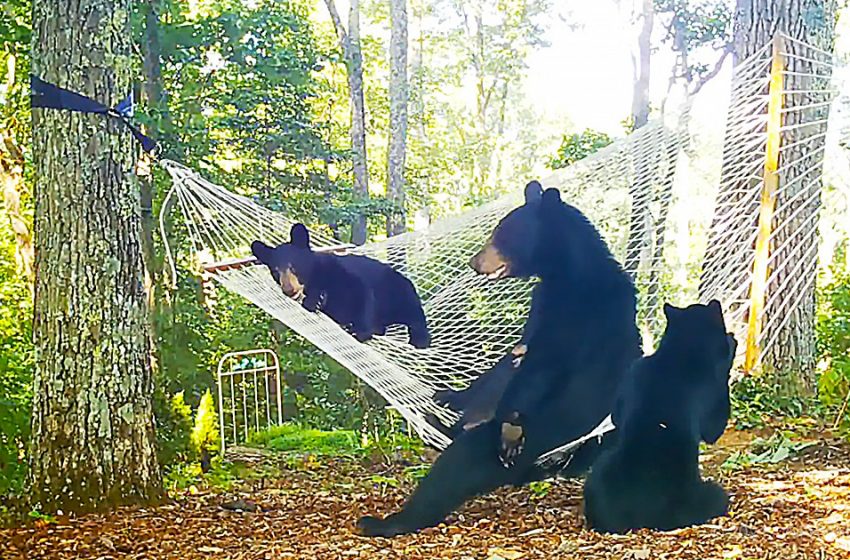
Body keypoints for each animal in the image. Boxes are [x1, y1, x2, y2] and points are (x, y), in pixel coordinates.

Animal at [248, 225, 428, 348]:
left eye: (293, 266)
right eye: (275, 271)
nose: (288, 290)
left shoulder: (339, 272)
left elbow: (362, 292)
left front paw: (361, 331)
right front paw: (315, 301)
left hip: (399, 290)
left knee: (413, 312)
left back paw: (419, 339)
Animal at [354, 182, 640, 536]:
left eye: (501, 234)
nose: (474, 262)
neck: (568, 271)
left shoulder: (581, 312)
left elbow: (546, 363)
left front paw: (509, 427)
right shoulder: (542, 304)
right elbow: (513, 357)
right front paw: (451, 395)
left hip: (540, 436)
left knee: (456, 467)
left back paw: (386, 521)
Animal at [584, 302, 736, 532]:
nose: (732, 334)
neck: (679, 354)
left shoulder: (634, 371)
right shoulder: (714, 396)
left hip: (598, 473)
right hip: (708, 495)